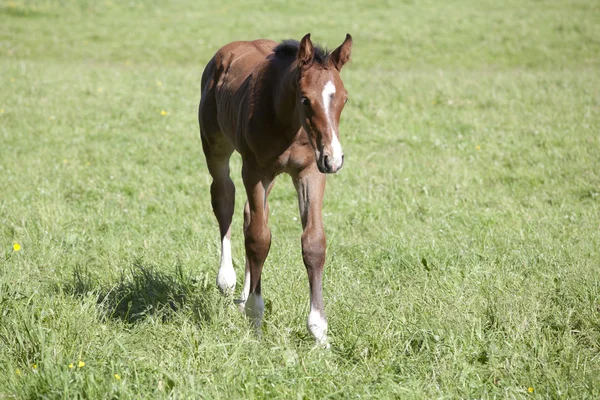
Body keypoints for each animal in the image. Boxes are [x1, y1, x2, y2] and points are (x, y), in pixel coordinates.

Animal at [199, 32, 354, 344]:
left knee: (249, 213)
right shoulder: (255, 170)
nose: (334, 159)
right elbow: (259, 238)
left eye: (344, 98)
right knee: (224, 200)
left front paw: (319, 331)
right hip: (216, 149)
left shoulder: (311, 172)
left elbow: (313, 243)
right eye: (305, 100)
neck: (289, 125)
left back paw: (243, 294)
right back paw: (227, 281)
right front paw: (255, 316)